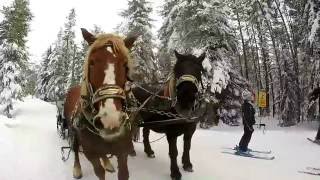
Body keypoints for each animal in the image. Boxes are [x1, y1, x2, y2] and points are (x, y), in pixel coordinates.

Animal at [63, 28, 137, 180]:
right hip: (73, 131)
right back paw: (77, 169)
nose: (110, 119)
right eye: (91, 62)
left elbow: (124, 173)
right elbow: (99, 172)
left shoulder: (123, 151)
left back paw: (107, 162)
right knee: (75, 148)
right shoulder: (91, 153)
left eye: (125, 64)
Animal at [132, 50, 205, 180]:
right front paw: (175, 173)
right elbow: (173, 152)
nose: (186, 96)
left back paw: (149, 151)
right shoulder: (171, 133)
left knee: (145, 133)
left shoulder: (190, 130)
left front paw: (187, 164)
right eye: (178, 69)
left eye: (198, 70)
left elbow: (187, 147)